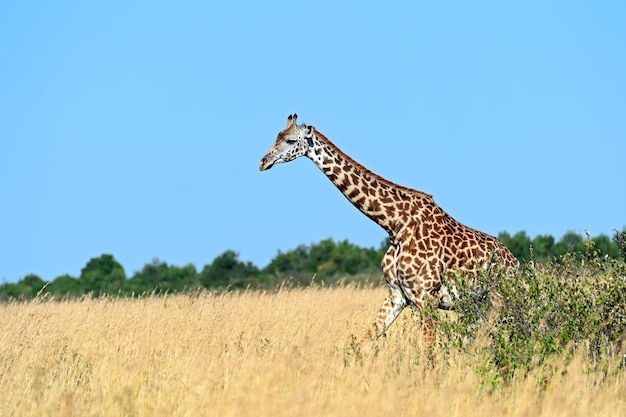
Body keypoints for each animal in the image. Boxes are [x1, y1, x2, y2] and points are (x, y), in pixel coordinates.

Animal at [258, 114, 516, 348]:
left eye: (291, 140)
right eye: (276, 136)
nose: (263, 162)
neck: (395, 225)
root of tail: (515, 262)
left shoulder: (426, 296)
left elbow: (429, 355)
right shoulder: (396, 295)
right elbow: (364, 344)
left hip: (500, 299)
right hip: (478, 304)